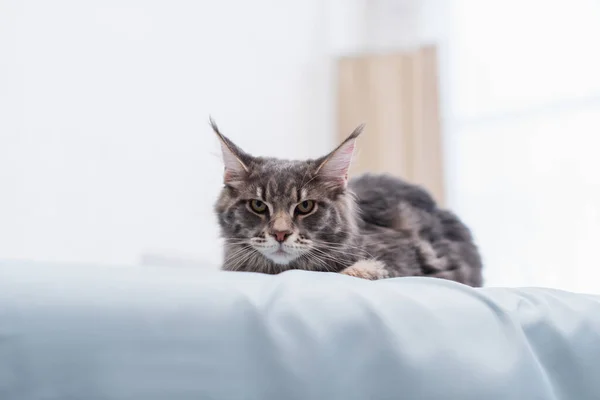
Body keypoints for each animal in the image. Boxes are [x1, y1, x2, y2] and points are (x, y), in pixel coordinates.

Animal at [211, 119, 482, 288]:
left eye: (305, 207)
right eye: (258, 206)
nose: (280, 234)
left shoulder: (404, 259)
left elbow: (367, 270)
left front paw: (351, 272)